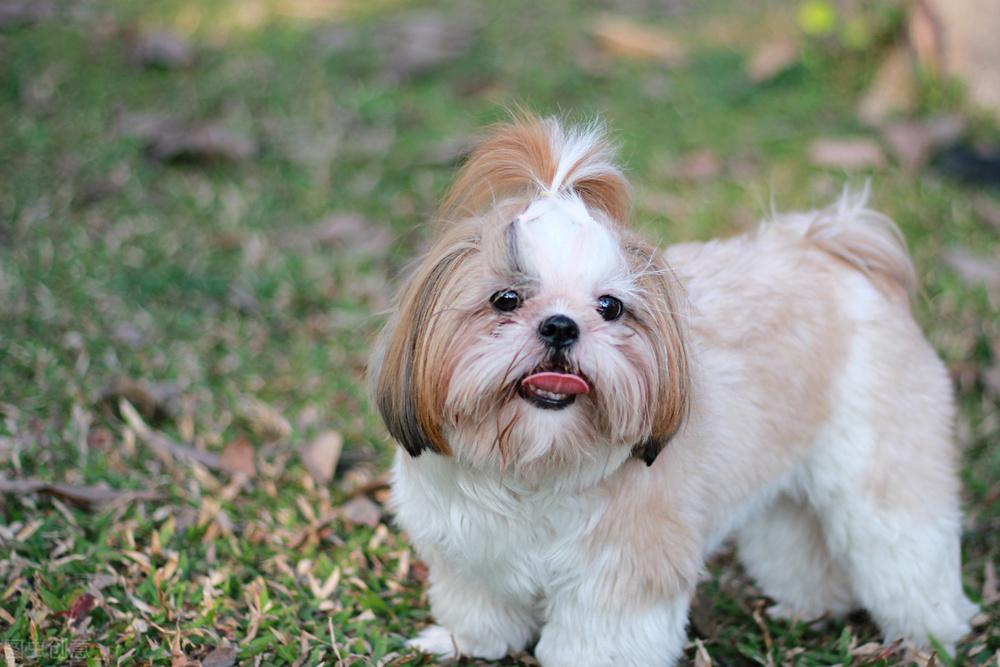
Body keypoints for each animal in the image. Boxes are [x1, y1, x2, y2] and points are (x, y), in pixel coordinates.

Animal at [370, 115, 976, 667]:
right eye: (506, 300)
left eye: (609, 307)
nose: (561, 326)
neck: (535, 465)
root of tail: (835, 246)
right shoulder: (469, 555)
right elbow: (480, 609)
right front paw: (463, 643)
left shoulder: (621, 575)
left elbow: (599, 642)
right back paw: (809, 606)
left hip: (884, 475)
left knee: (906, 551)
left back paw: (933, 633)